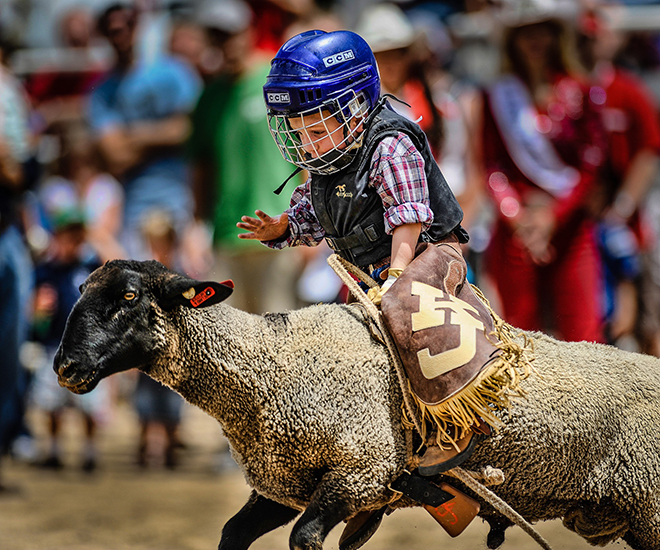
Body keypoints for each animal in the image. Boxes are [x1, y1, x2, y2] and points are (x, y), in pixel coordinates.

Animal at [53, 259, 660, 550]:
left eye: (129, 295)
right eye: (80, 289)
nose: (65, 366)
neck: (270, 364)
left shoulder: (359, 473)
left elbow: (304, 540)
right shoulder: (285, 487)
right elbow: (230, 535)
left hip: (650, 506)